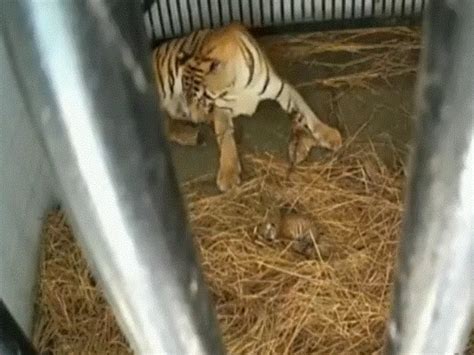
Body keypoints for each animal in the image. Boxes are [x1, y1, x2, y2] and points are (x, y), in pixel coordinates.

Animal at [154, 22, 342, 192]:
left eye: (200, 99)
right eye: (188, 98)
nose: (195, 119)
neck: (235, 85)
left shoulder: (283, 89)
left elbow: (307, 111)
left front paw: (329, 134)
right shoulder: (221, 109)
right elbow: (225, 138)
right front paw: (228, 175)